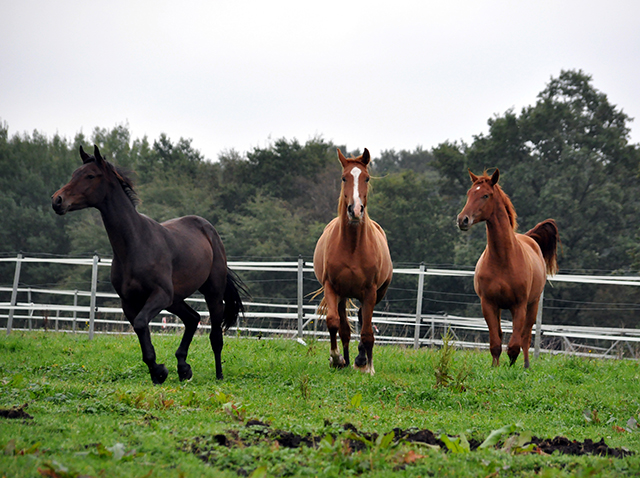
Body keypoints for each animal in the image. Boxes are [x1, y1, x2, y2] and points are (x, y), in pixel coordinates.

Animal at [52, 145, 244, 384]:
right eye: (73, 174)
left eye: (90, 175)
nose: (57, 200)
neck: (136, 244)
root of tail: (209, 229)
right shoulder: (130, 302)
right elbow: (140, 328)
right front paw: (158, 372)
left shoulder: (159, 295)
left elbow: (142, 323)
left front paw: (160, 371)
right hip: (175, 300)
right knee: (192, 319)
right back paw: (183, 368)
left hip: (211, 293)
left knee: (215, 335)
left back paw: (218, 375)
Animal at [313, 148, 393, 375]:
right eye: (343, 178)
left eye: (366, 178)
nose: (355, 210)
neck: (352, 247)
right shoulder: (332, 287)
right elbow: (334, 323)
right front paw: (336, 358)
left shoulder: (370, 291)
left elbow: (366, 331)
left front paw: (369, 367)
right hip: (342, 296)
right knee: (345, 328)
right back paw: (348, 361)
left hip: (377, 293)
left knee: (362, 318)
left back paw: (361, 359)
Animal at [457, 169, 559, 368]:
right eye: (469, 193)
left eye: (485, 195)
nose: (462, 220)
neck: (503, 259)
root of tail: (530, 238)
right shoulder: (489, 304)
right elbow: (496, 342)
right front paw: (495, 368)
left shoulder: (519, 305)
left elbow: (514, 346)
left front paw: (511, 369)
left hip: (532, 305)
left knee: (525, 337)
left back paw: (526, 365)